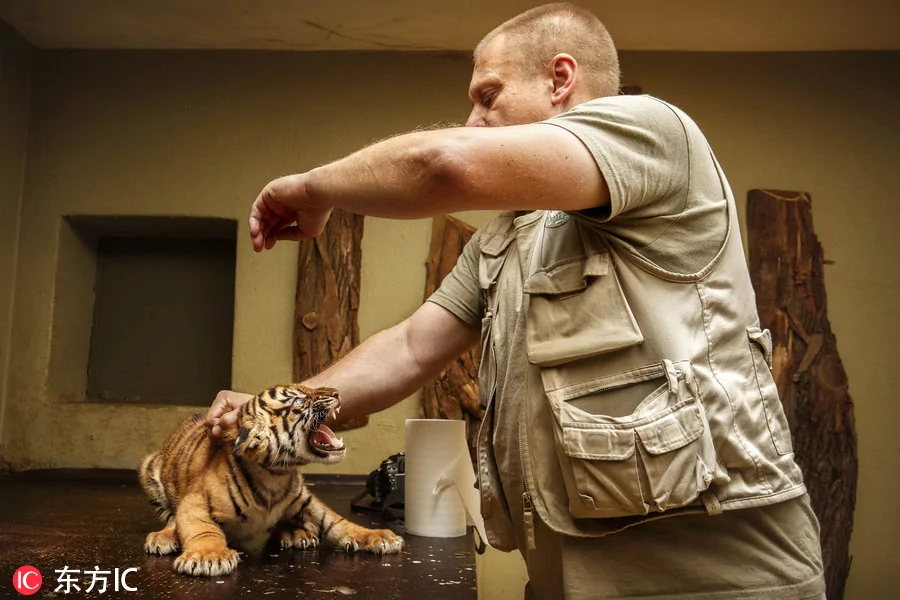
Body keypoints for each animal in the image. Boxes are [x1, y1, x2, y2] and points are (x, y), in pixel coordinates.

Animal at [137, 384, 404, 577]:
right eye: (298, 401)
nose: (337, 393)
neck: (276, 475)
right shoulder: (196, 501)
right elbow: (201, 528)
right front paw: (209, 556)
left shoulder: (305, 499)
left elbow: (337, 522)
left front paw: (379, 536)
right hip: (149, 469)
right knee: (172, 518)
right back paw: (163, 537)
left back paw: (297, 533)